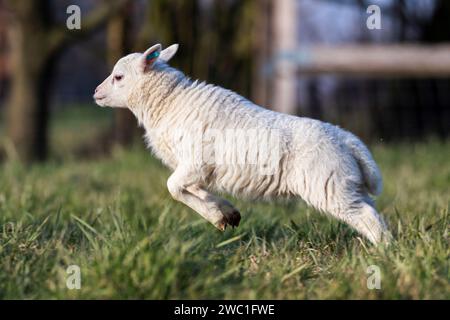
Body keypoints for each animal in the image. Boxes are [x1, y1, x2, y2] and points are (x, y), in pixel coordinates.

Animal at [94, 43, 390, 245]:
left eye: (119, 77)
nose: (96, 92)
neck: (168, 102)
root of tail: (346, 139)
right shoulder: (200, 169)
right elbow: (194, 189)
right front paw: (227, 214)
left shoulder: (196, 162)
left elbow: (173, 188)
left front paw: (215, 217)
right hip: (346, 183)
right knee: (372, 212)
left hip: (328, 186)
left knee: (366, 216)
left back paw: (383, 254)